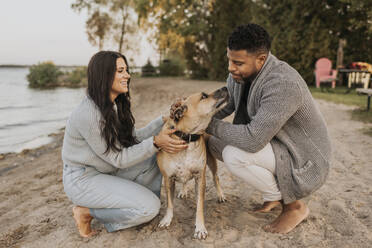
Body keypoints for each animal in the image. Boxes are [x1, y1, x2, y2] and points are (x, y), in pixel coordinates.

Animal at [155, 86, 228, 239]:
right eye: (204, 96)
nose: (225, 87)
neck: (187, 137)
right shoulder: (168, 178)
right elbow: (170, 204)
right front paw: (167, 219)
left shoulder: (200, 177)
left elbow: (199, 205)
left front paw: (200, 228)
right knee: (184, 180)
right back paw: (183, 191)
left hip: (211, 161)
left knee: (216, 177)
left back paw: (220, 195)